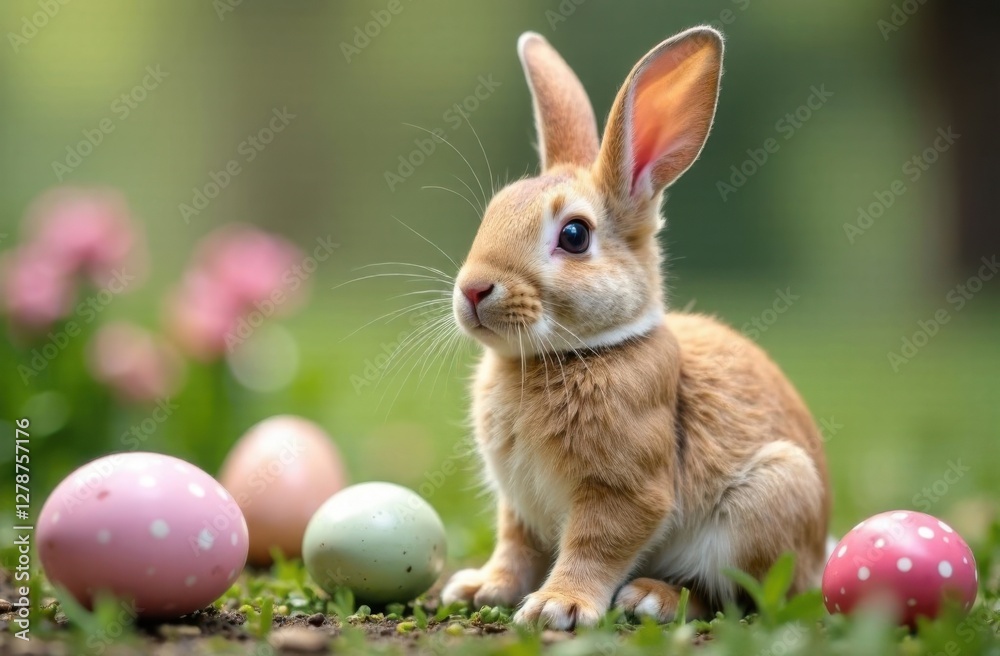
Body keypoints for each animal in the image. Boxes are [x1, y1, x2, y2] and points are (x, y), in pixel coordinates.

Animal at [439, 26, 830, 630]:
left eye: (574, 235)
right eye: (494, 212)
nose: (474, 289)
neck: (579, 352)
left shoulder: (625, 491)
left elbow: (595, 546)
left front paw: (558, 607)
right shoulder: (519, 506)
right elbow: (515, 548)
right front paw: (481, 588)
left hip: (766, 502)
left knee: (734, 597)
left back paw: (651, 598)